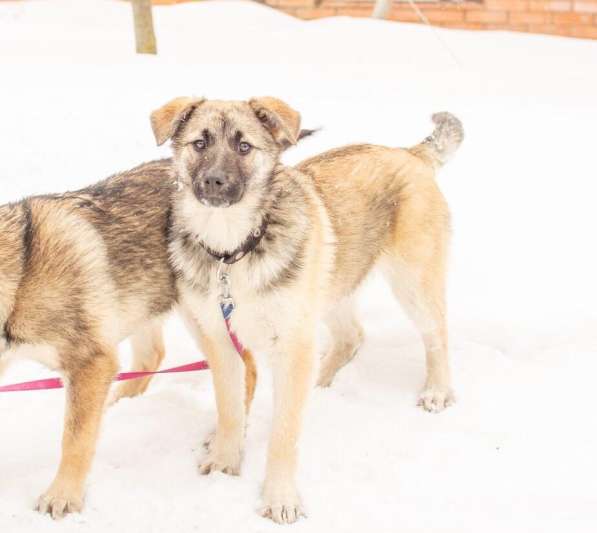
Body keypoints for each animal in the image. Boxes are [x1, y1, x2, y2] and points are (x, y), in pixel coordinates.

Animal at [151, 96, 464, 524]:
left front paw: (279, 498)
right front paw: (224, 464)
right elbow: (230, 409)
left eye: (244, 146)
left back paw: (437, 391)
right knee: (351, 337)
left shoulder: (291, 341)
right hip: (333, 285)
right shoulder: (221, 341)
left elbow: (284, 435)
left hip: (412, 282)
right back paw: (320, 381)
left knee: (437, 336)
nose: (214, 181)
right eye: (200, 143)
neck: (233, 251)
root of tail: (408, 153)